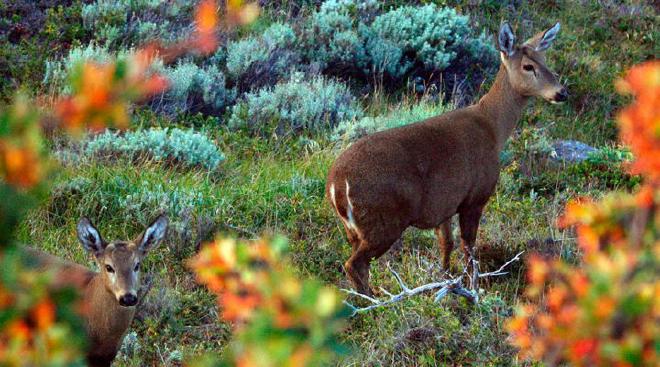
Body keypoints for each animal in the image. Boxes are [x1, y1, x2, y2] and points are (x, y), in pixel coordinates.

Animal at [324, 21, 568, 296]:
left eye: (544, 60)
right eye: (528, 66)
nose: (561, 92)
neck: (492, 128)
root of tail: (336, 184)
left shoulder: (445, 205)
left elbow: (447, 244)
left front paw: (446, 282)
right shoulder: (475, 197)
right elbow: (469, 249)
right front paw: (473, 290)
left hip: (354, 229)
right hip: (383, 221)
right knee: (354, 265)